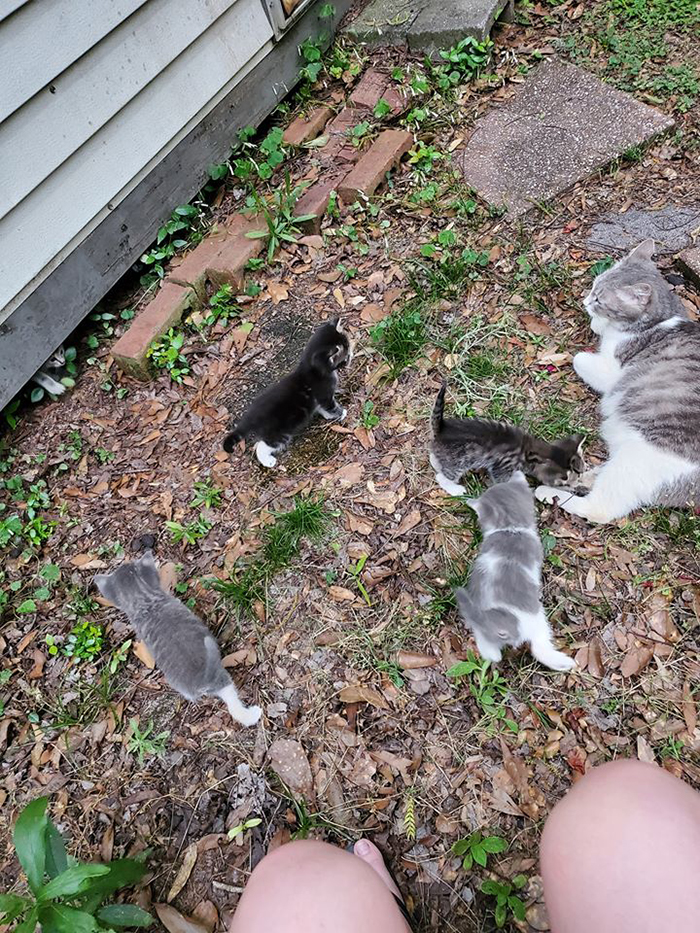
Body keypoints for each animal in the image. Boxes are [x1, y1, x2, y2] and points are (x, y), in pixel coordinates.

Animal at [224, 318, 352, 466]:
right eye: (345, 354)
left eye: (347, 343)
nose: (351, 353)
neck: (313, 369)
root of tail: (250, 418)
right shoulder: (324, 394)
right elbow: (330, 406)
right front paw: (342, 413)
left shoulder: (318, 399)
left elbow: (321, 408)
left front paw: (329, 416)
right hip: (279, 433)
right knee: (263, 446)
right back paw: (268, 461)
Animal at [454, 474, 576, 668]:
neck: (510, 529)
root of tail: (500, 624)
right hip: (538, 619)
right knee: (539, 649)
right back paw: (563, 662)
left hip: (481, 629)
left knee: (490, 652)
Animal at [536, 237, 700, 520]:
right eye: (593, 285)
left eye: (599, 299)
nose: (585, 301)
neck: (660, 320)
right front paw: (597, 324)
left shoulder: (610, 370)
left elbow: (579, 357)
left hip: (637, 460)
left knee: (599, 509)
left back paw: (546, 493)